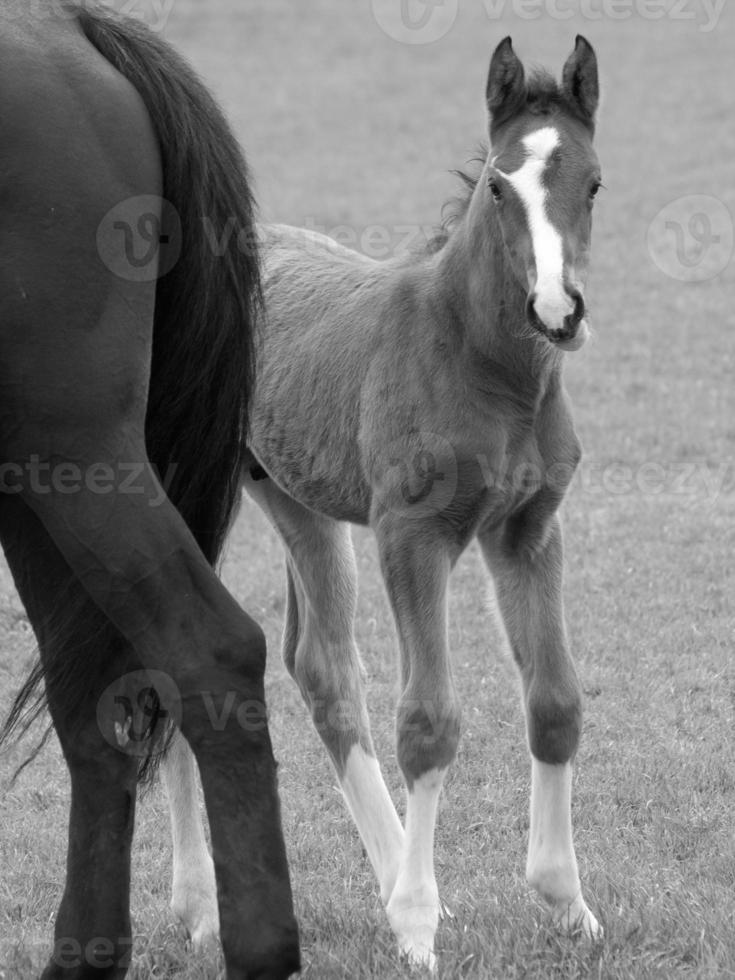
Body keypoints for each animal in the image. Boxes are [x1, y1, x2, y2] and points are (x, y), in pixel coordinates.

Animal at [0, 1, 300, 980]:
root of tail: (70, 28)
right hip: (37, 482)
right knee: (88, 702)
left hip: (75, 456)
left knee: (213, 652)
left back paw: (259, 947)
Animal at [167, 34, 604, 968]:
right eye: (498, 186)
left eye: (592, 182)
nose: (556, 309)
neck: (480, 362)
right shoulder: (413, 535)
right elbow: (429, 723)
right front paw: (414, 931)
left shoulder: (526, 532)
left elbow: (553, 703)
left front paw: (566, 905)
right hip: (192, 495)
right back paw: (201, 911)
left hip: (297, 503)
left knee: (322, 667)